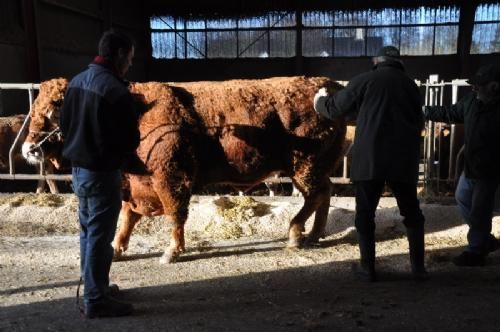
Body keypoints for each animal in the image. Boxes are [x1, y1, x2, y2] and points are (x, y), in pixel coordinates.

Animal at [21, 76, 346, 264]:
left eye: (56, 107)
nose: (29, 149)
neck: (137, 113)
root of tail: (326, 84)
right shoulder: (135, 185)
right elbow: (127, 218)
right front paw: (116, 249)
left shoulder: (170, 179)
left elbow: (175, 214)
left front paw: (171, 251)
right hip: (312, 169)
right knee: (325, 193)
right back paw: (314, 234)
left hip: (304, 167)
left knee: (316, 195)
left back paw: (296, 234)